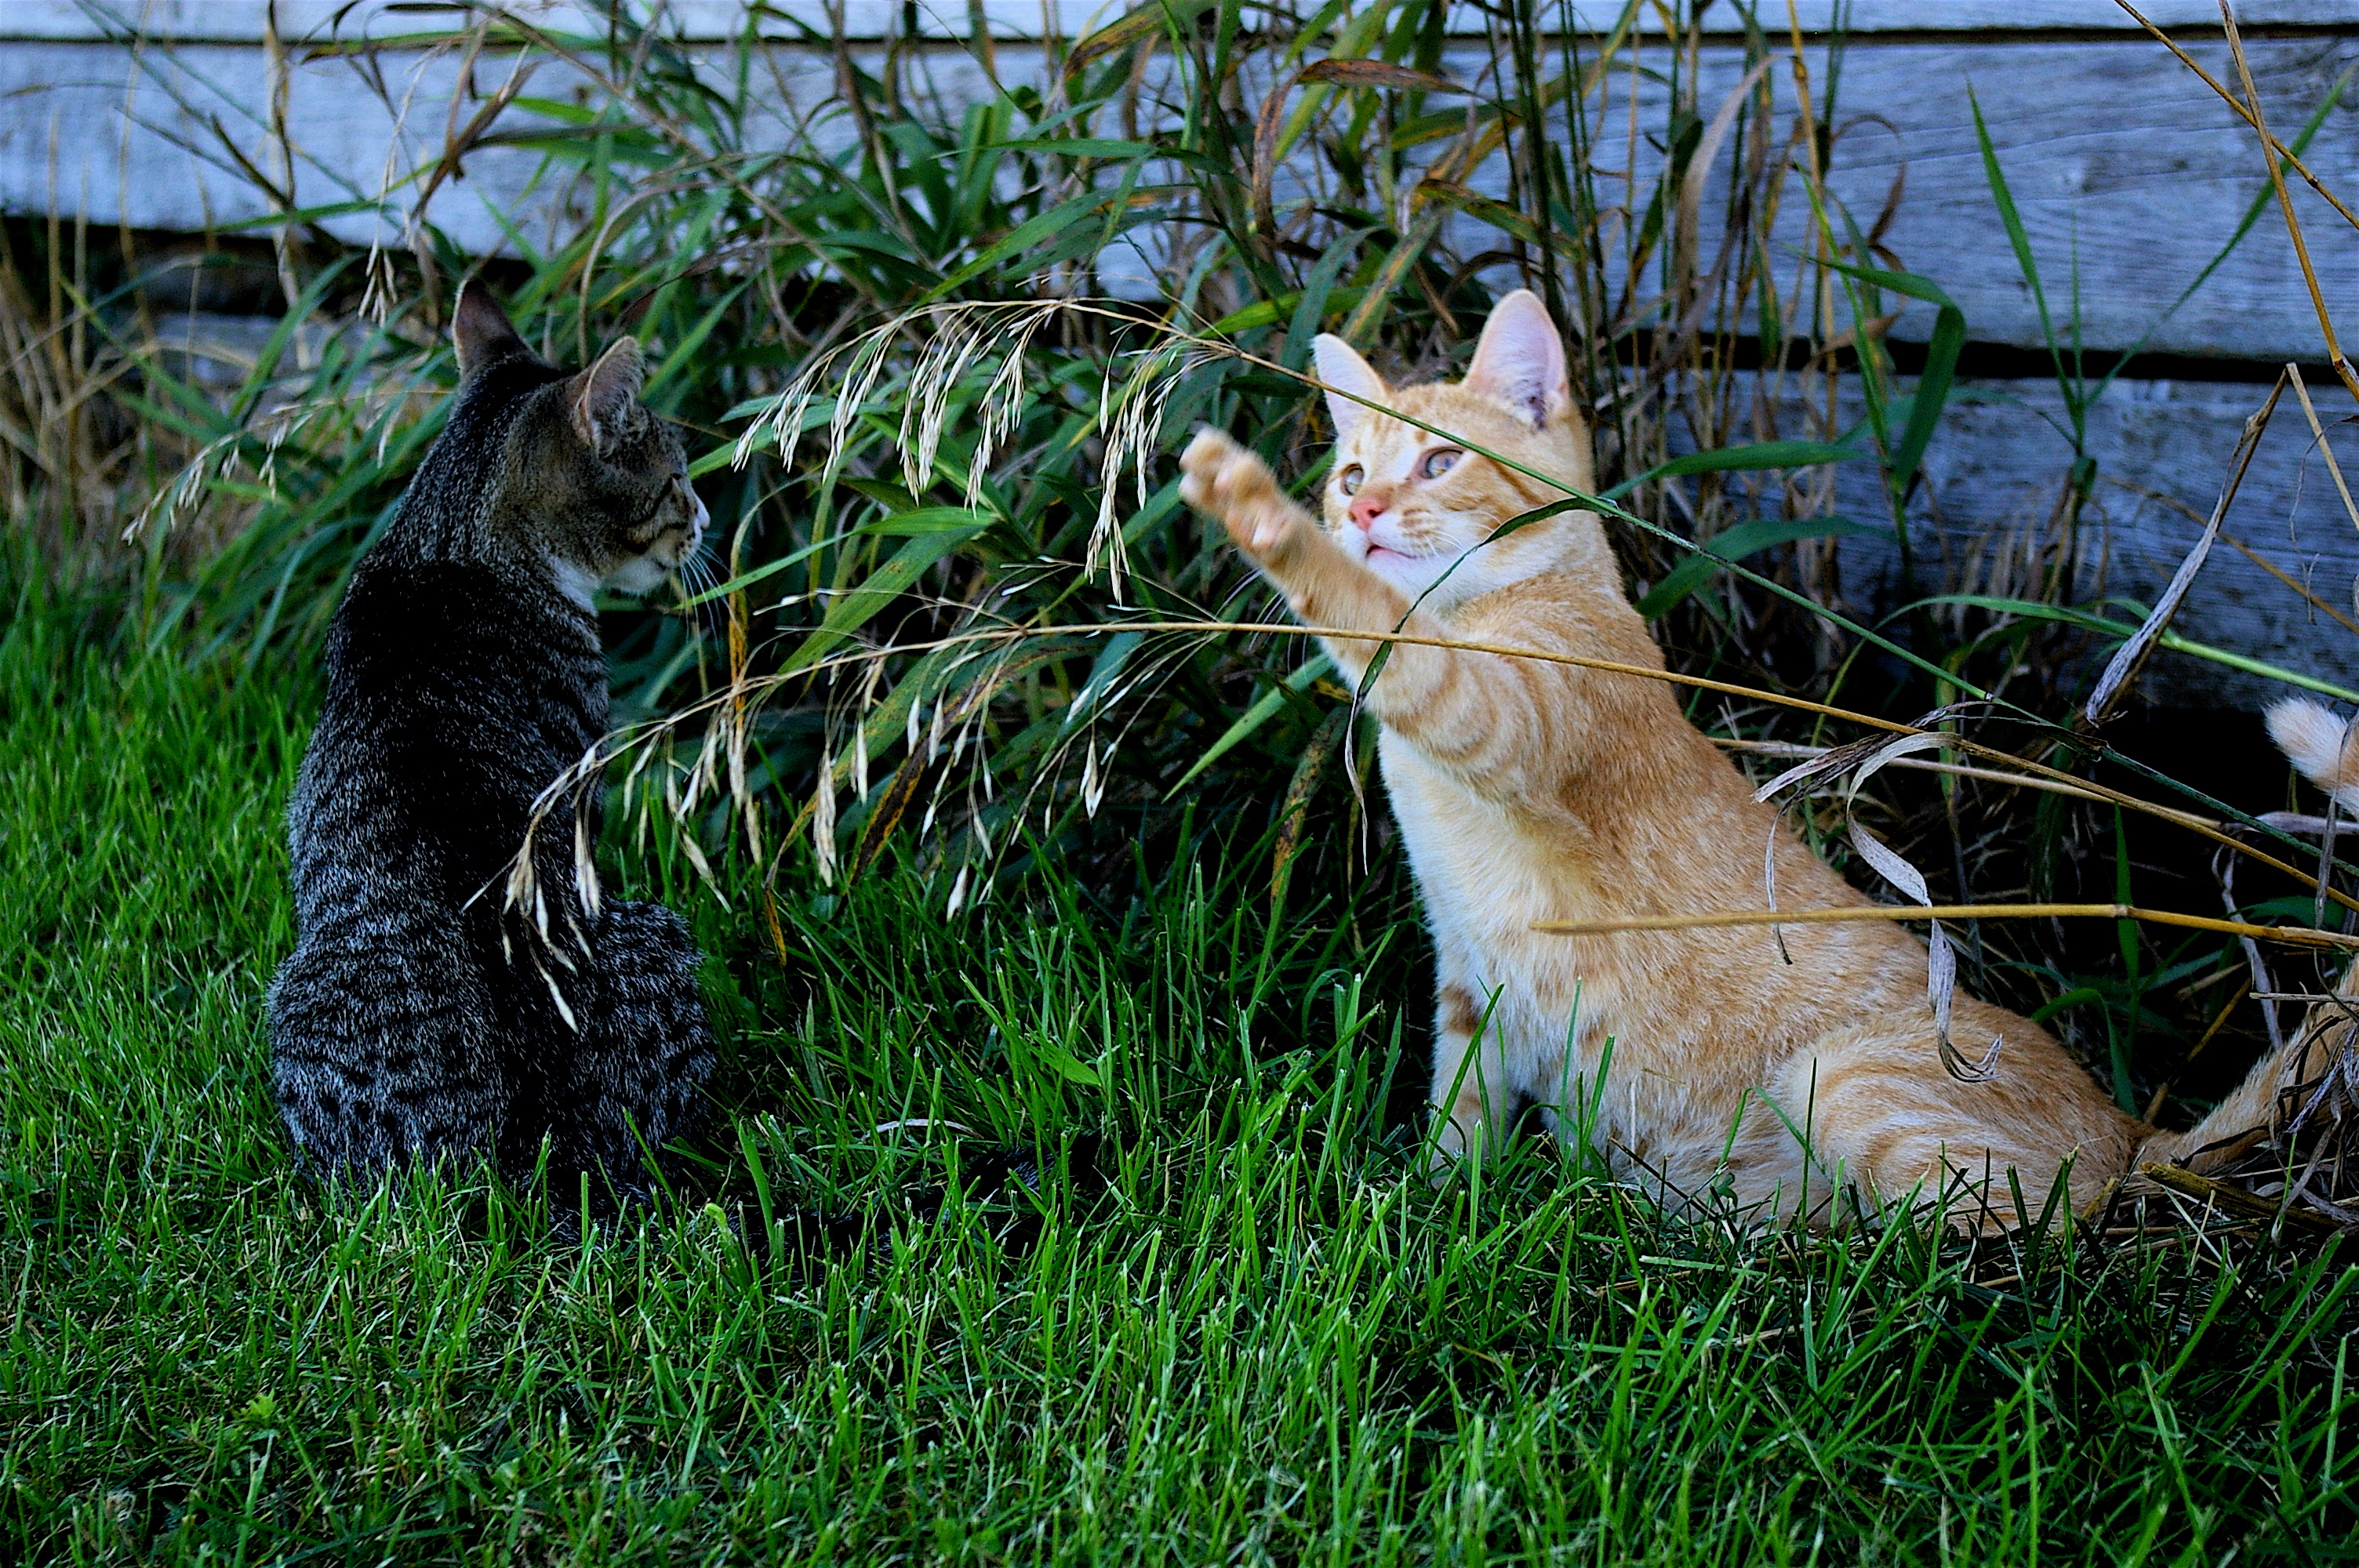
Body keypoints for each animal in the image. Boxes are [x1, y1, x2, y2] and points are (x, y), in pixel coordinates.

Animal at [1189, 293, 2330, 1225]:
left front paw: (1258, 515)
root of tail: (2131, 1129)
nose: (1361, 510)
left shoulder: (1500, 713)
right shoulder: (1472, 978)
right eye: (1351, 471)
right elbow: (1459, 1110)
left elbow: (1378, 628)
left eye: (1435, 463)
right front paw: (1431, 1198)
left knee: (2017, 1249)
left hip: (1852, 1088)